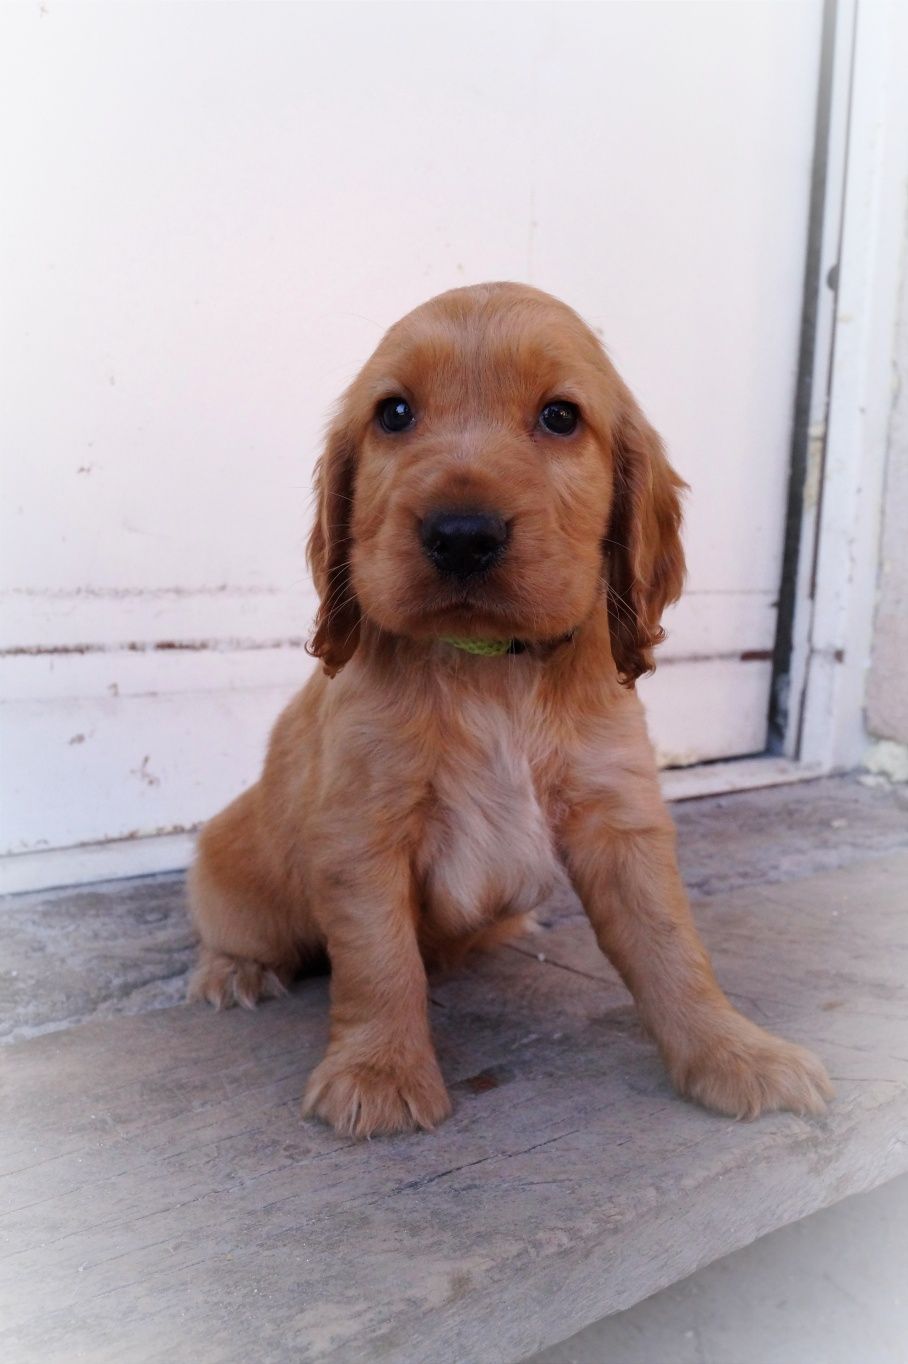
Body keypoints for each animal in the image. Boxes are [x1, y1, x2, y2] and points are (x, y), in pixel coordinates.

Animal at [186, 285, 828, 1140]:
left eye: (560, 417)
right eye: (394, 413)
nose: (461, 534)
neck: (488, 666)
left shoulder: (619, 816)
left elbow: (671, 946)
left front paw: (735, 1052)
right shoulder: (363, 829)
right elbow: (378, 959)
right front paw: (380, 1071)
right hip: (230, 868)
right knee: (244, 931)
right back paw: (233, 971)